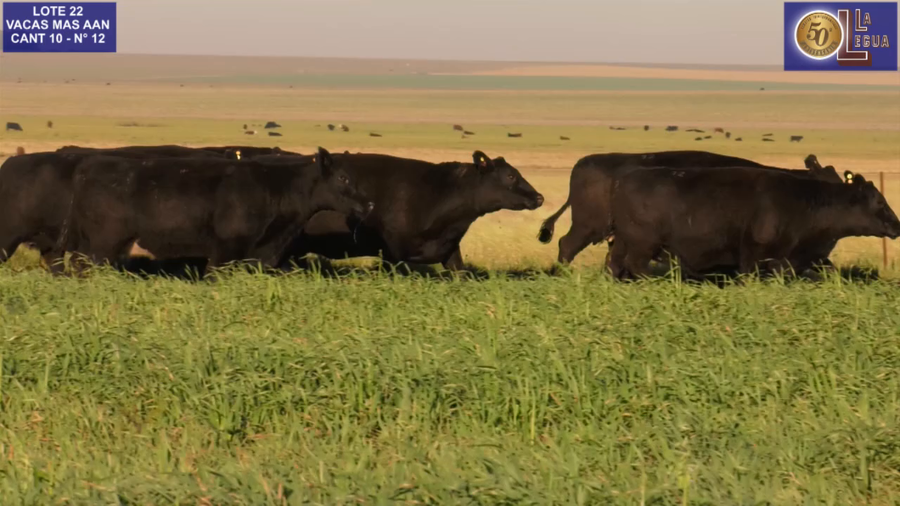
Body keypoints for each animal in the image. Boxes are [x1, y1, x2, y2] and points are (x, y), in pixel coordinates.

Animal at [607, 168, 900, 280]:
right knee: (636, 266)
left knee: (615, 264)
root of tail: (624, 178)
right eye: (879, 201)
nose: (897, 225)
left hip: (623, 242)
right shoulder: (755, 256)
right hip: (643, 243)